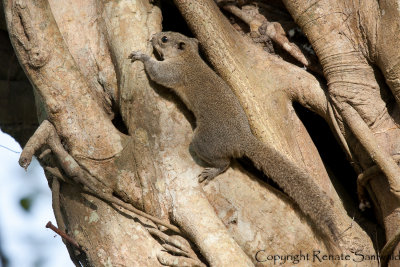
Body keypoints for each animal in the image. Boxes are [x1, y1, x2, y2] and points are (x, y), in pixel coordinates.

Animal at [129, 31, 340, 245]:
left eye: (165, 39)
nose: (153, 37)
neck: (188, 58)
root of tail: (242, 140)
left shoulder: (175, 72)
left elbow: (157, 73)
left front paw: (142, 56)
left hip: (204, 141)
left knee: (224, 163)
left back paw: (212, 171)